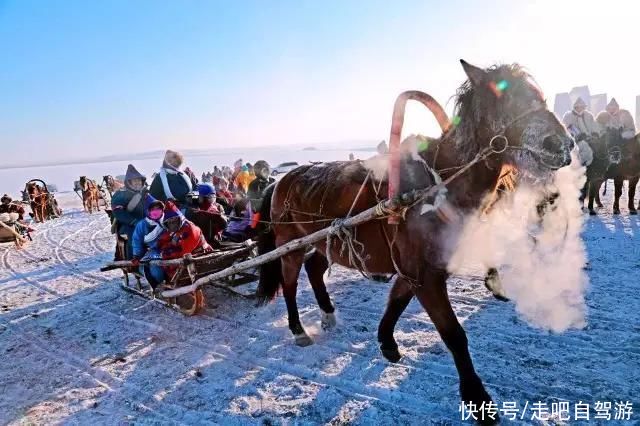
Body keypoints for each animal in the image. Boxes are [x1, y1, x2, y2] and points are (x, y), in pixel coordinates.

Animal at [255, 60, 576, 422]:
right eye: (506, 99)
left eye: (539, 95)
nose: (564, 144)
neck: (437, 186)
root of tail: (280, 180)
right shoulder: (425, 274)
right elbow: (453, 334)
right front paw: (477, 397)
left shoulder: (417, 268)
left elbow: (397, 300)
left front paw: (387, 342)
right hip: (291, 243)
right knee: (290, 282)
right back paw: (298, 329)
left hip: (330, 241)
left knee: (314, 267)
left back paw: (327, 314)